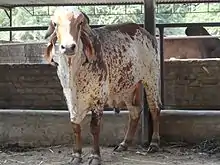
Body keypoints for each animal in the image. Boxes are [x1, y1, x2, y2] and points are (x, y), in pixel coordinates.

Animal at [44, 8, 162, 165]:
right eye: (55, 24)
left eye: (80, 23)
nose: (68, 47)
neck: (74, 69)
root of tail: (144, 32)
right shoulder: (70, 98)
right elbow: (75, 125)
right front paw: (76, 155)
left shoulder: (98, 97)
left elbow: (94, 127)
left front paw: (95, 156)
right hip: (127, 87)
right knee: (135, 112)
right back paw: (124, 144)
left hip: (151, 79)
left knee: (155, 109)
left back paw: (154, 143)